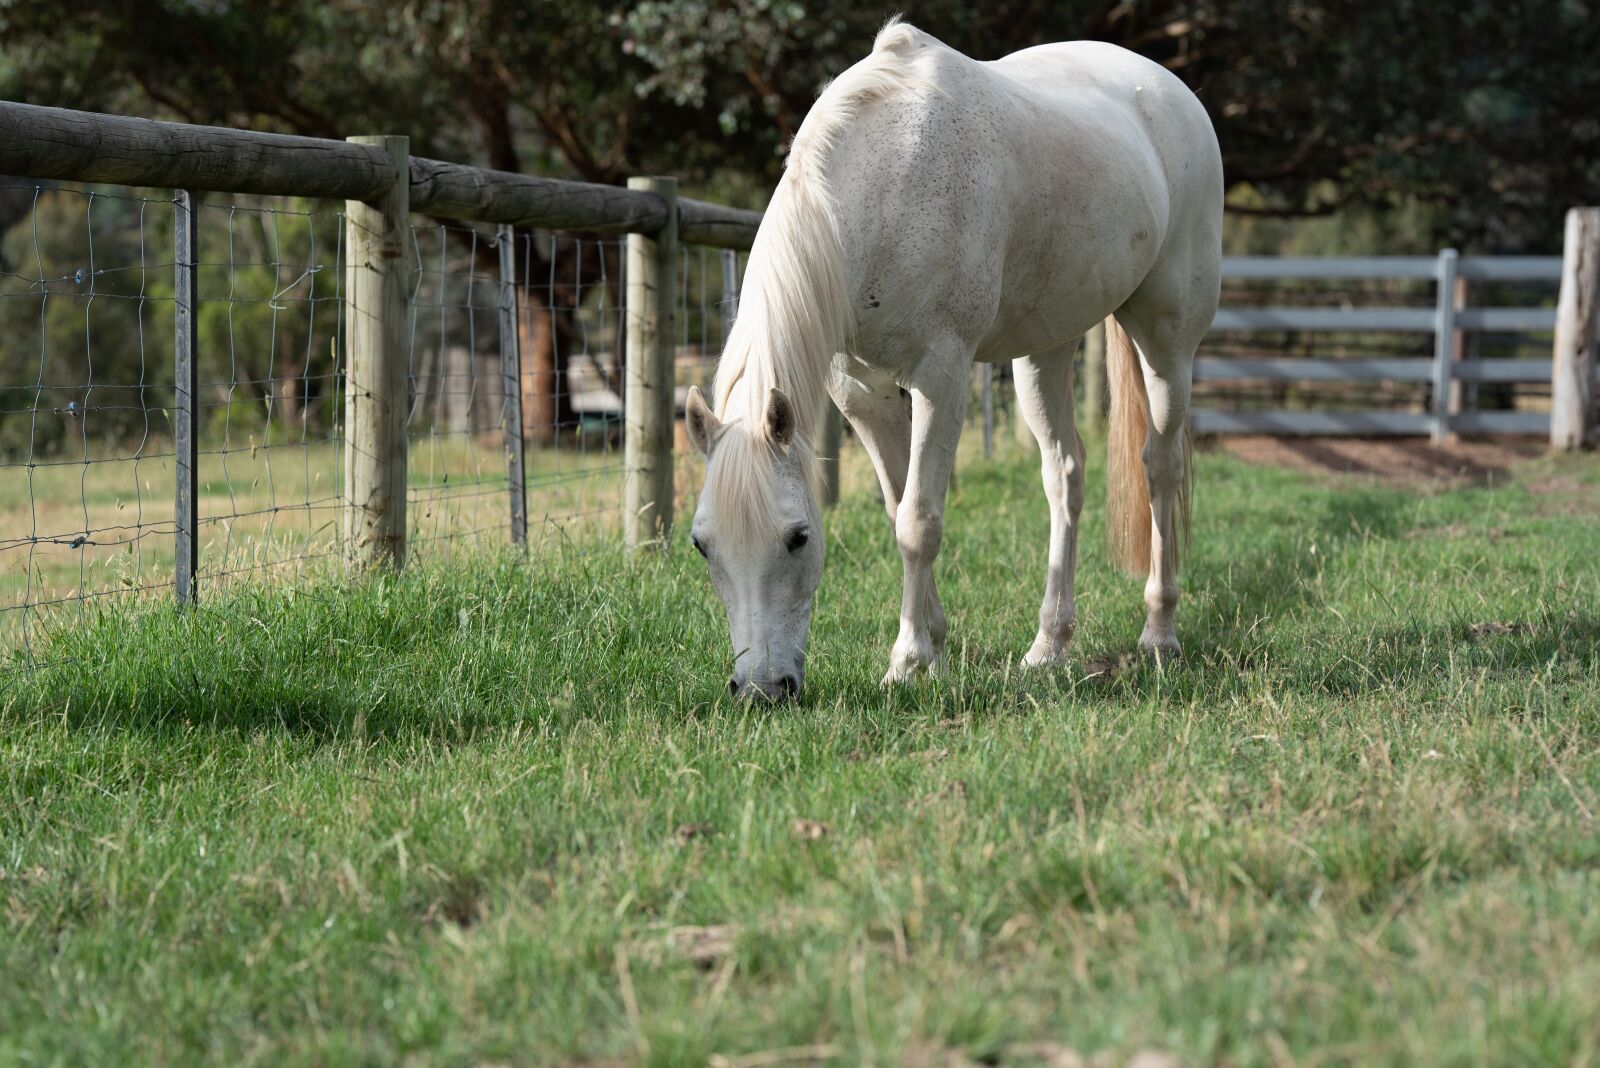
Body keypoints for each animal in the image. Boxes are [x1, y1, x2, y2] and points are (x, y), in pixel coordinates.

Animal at [684, 19, 1222, 699]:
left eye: (798, 538)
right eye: (702, 546)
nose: (759, 690)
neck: (888, 180)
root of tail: (1169, 89)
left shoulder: (940, 376)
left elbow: (920, 521)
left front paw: (907, 661)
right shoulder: (862, 394)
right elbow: (899, 509)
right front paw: (934, 648)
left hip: (1167, 338)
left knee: (1160, 466)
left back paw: (1159, 634)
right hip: (1045, 349)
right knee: (1064, 474)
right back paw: (1049, 646)